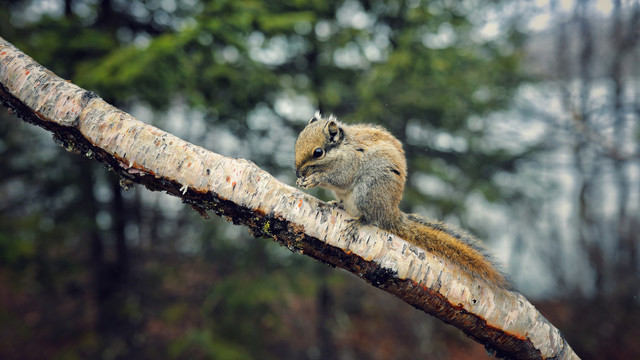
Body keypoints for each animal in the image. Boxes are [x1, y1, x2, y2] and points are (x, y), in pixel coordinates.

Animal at [296, 112, 510, 290]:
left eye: (318, 152)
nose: (297, 172)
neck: (343, 148)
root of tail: (391, 213)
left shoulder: (349, 165)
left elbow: (339, 179)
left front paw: (314, 179)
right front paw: (302, 181)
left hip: (368, 192)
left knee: (371, 217)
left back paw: (359, 222)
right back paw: (335, 204)